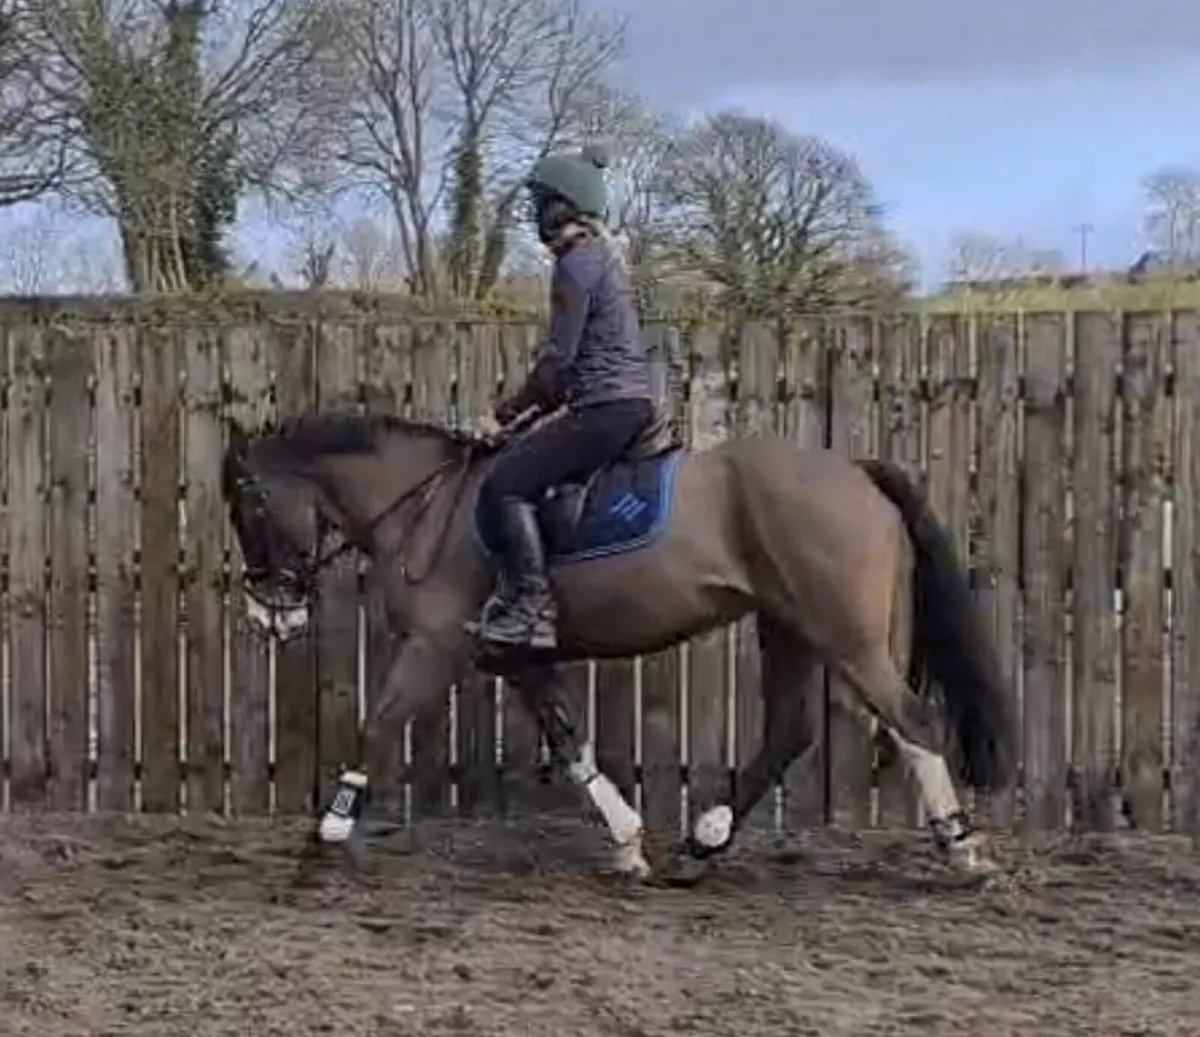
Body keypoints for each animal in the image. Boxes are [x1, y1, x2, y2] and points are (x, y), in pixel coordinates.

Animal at [220, 406, 1016, 881]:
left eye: (247, 503)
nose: (269, 613)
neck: (425, 505)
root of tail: (853, 469)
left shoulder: (433, 645)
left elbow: (378, 724)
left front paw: (328, 828)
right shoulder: (521, 658)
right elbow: (572, 744)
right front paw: (632, 842)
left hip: (845, 635)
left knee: (912, 720)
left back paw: (963, 847)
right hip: (788, 627)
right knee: (791, 729)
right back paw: (706, 836)